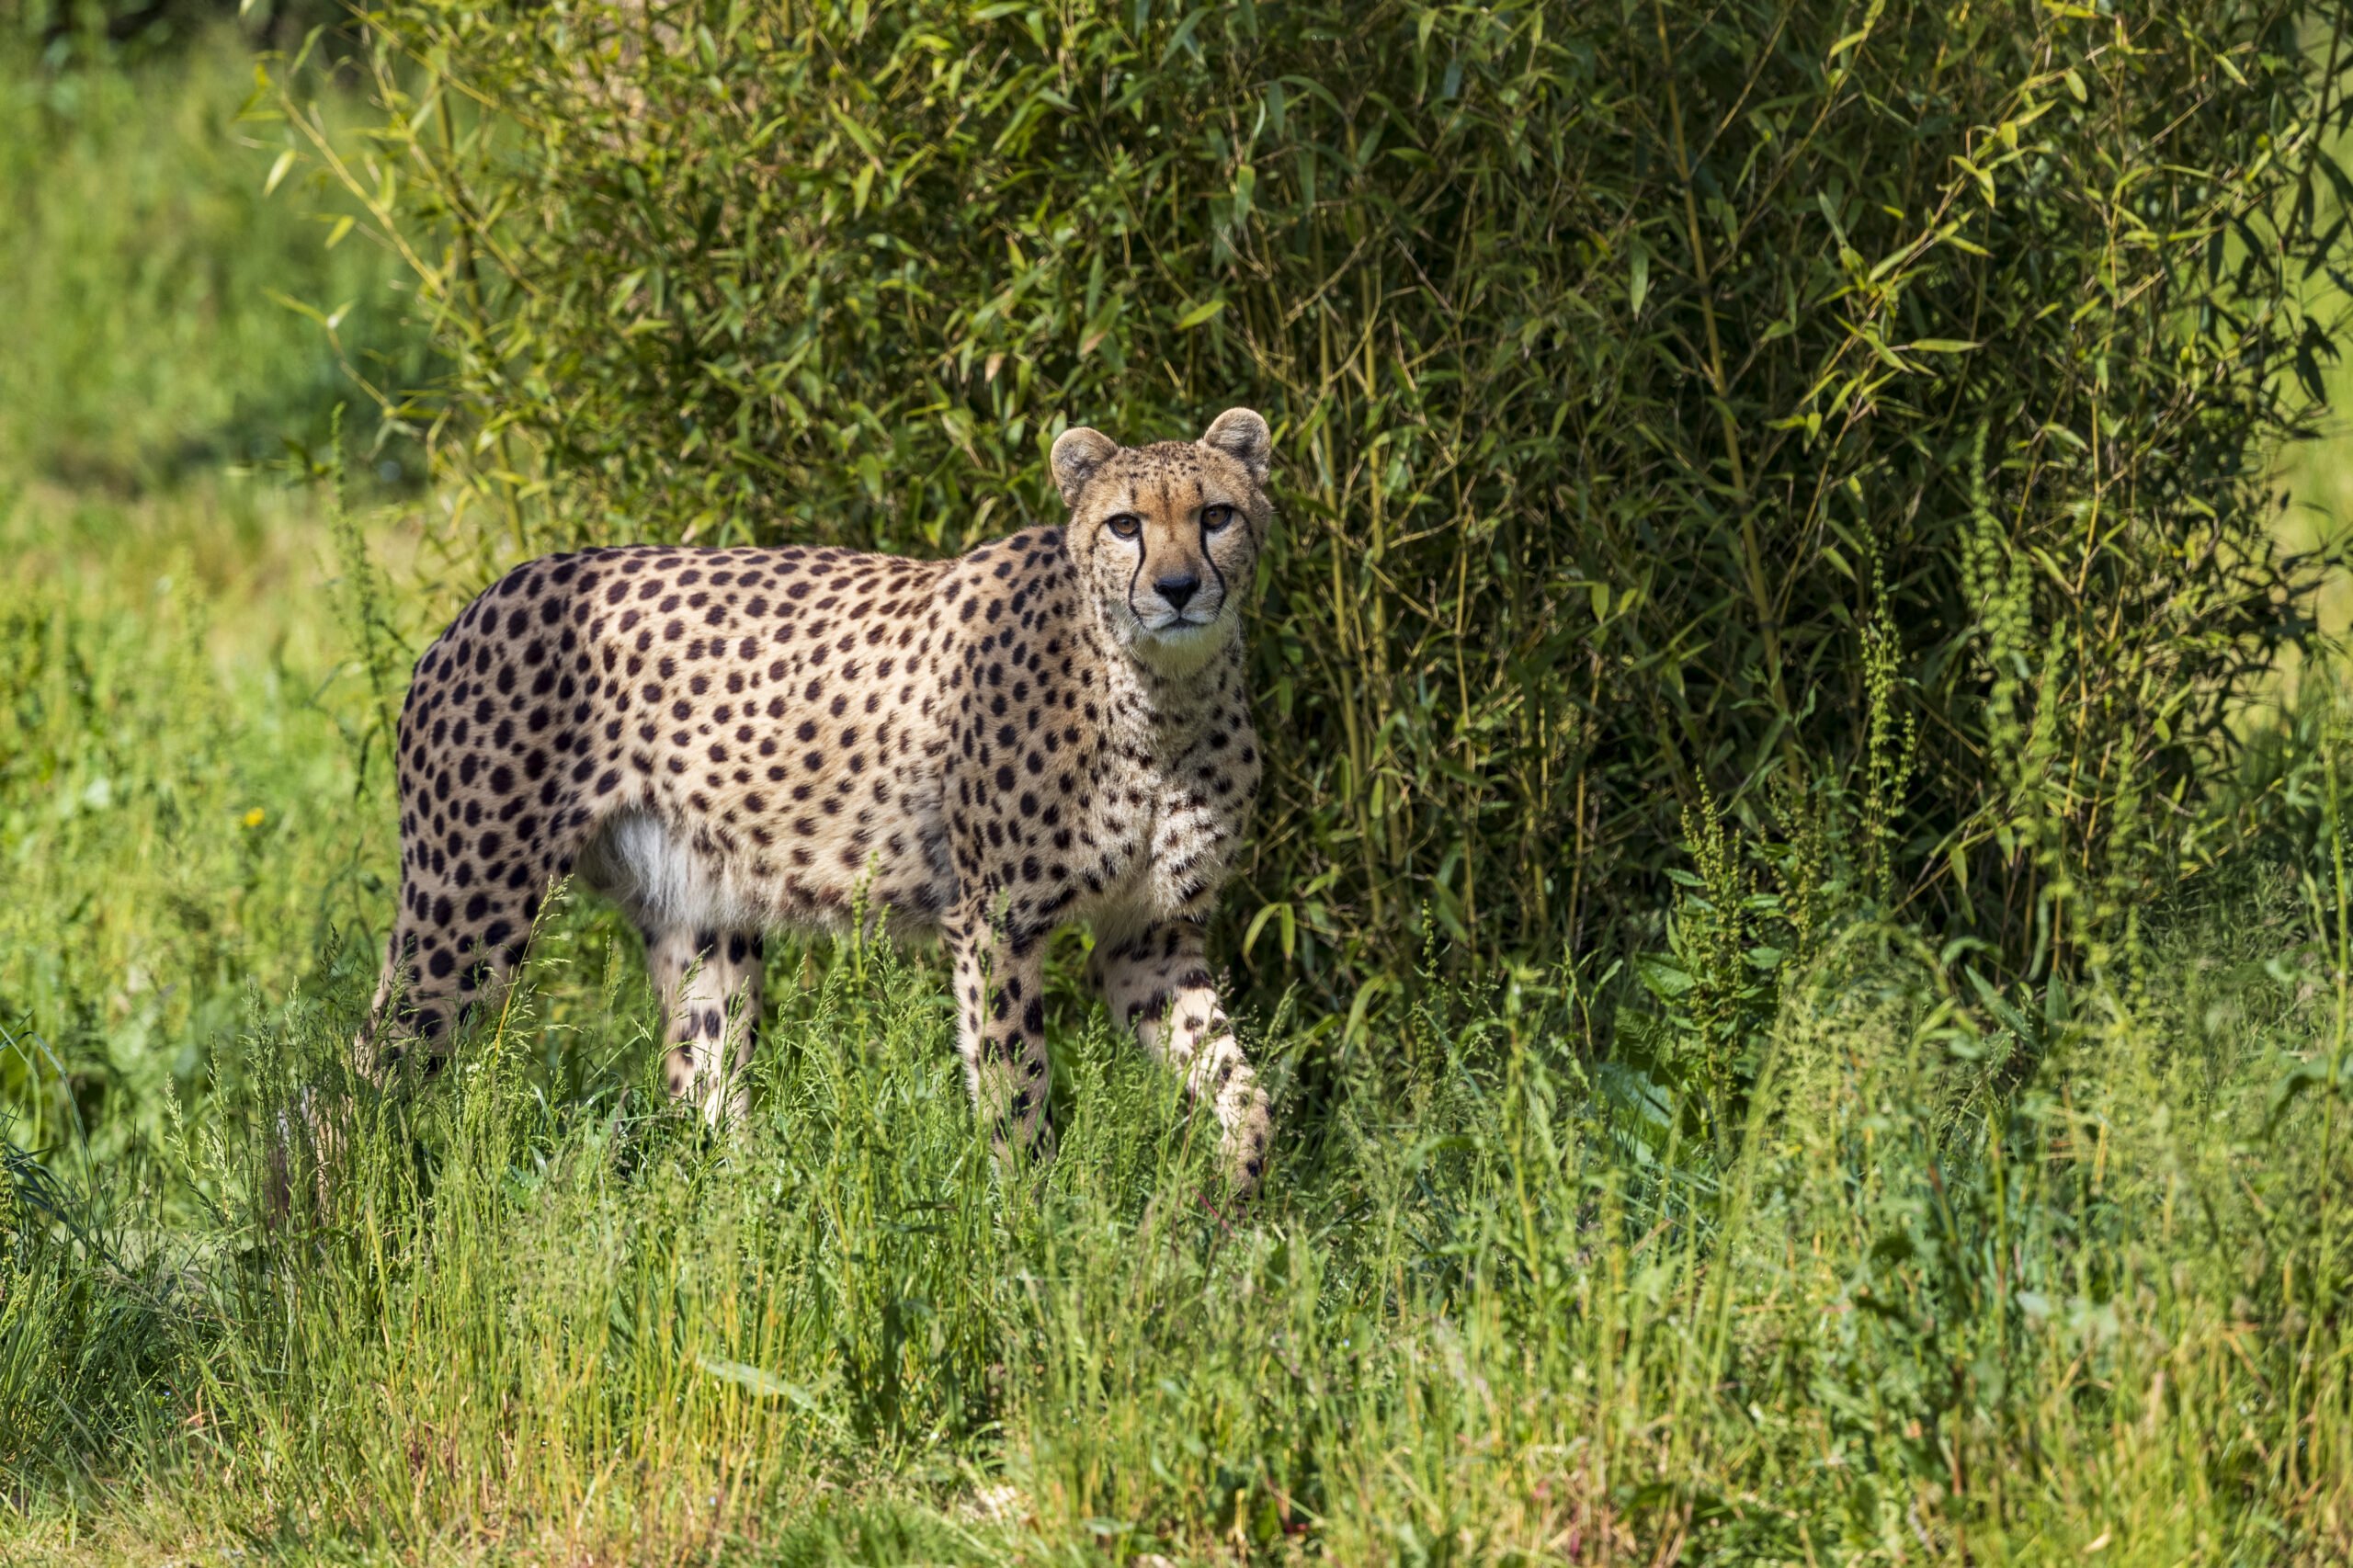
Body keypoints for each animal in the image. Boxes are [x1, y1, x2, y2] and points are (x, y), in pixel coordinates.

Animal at [367, 403, 1279, 1187]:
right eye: (1125, 525)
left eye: (1216, 516)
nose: (1176, 588)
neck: (1163, 698)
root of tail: (490, 595)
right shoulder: (996, 926)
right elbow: (1016, 1092)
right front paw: (1032, 1227)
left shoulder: (1150, 936)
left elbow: (1243, 1090)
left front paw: (1231, 1212)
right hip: (469, 907)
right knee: (374, 1064)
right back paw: (356, 1209)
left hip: (703, 920)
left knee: (702, 1087)